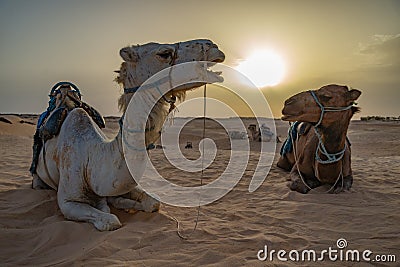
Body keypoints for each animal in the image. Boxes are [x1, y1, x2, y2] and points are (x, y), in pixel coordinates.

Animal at [32, 39, 227, 230]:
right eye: (164, 53)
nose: (213, 46)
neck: (92, 157)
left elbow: (153, 203)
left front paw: (127, 205)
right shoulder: (68, 200)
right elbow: (110, 221)